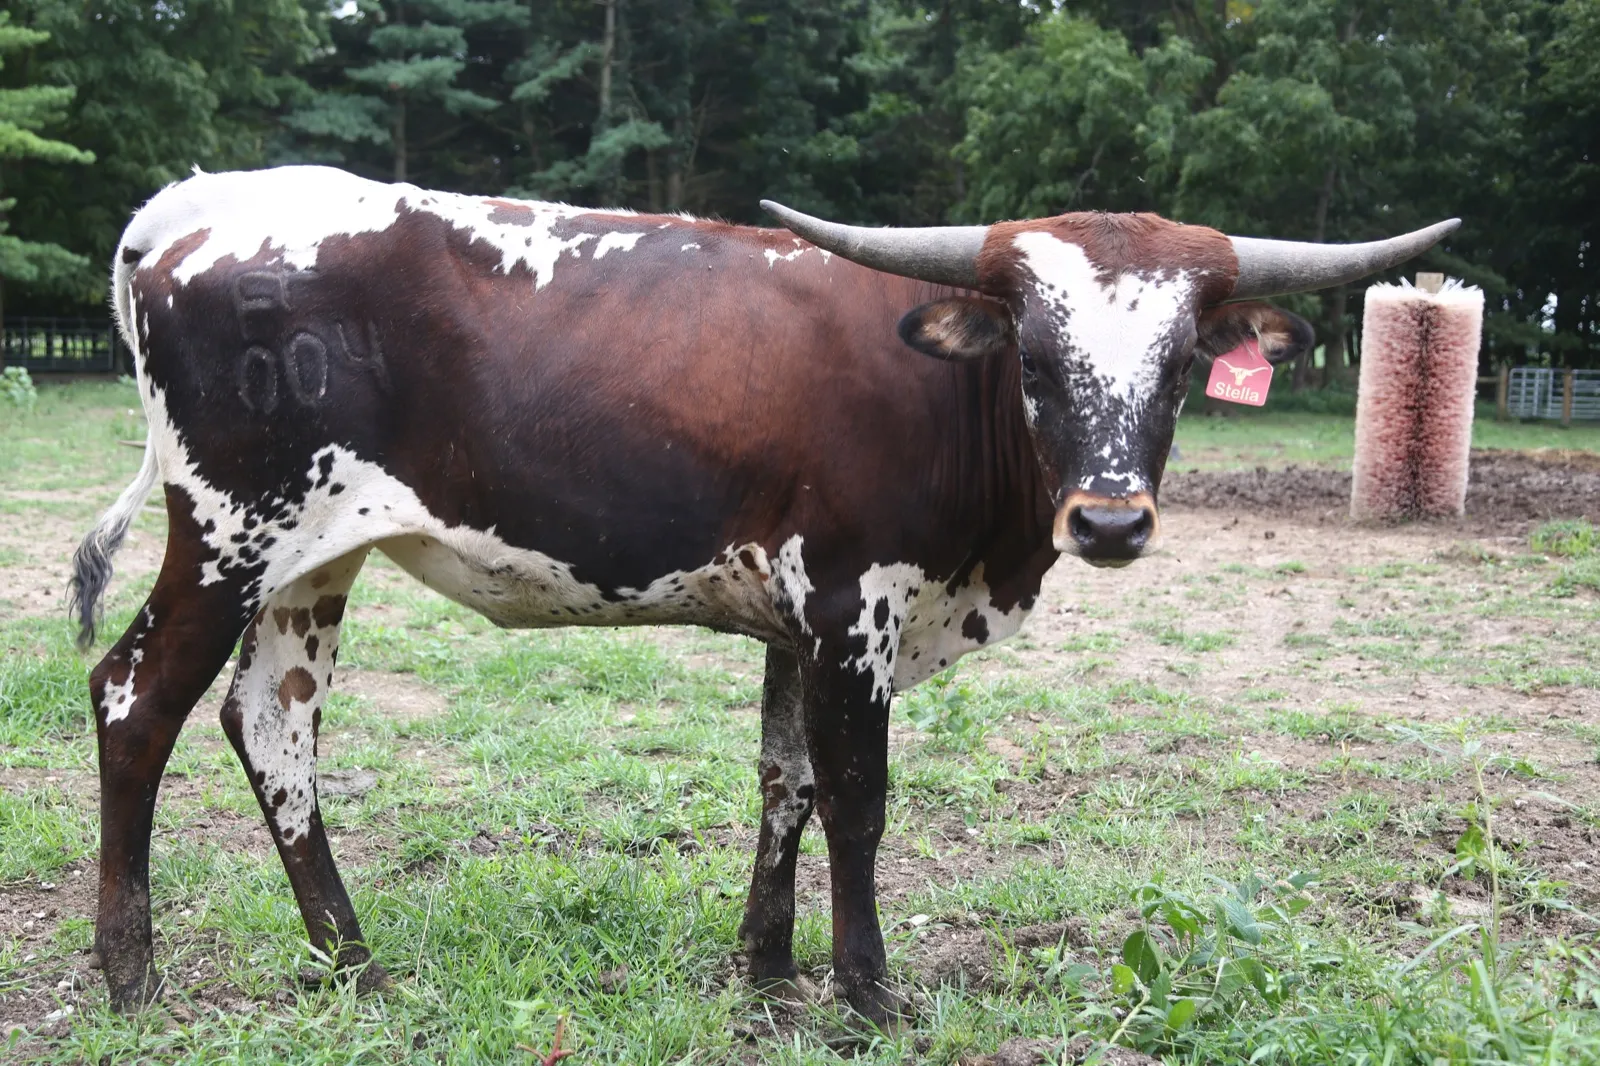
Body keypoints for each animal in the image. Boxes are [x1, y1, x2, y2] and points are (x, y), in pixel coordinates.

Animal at [71, 164, 1455, 1023]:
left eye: (1176, 366)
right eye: (1037, 357)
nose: (1110, 519)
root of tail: (197, 204)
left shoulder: (799, 620)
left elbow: (783, 779)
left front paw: (769, 965)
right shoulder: (856, 601)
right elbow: (857, 799)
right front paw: (864, 988)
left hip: (312, 557)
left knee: (274, 724)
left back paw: (351, 959)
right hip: (229, 531)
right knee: (134, 700)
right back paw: (134, 974)